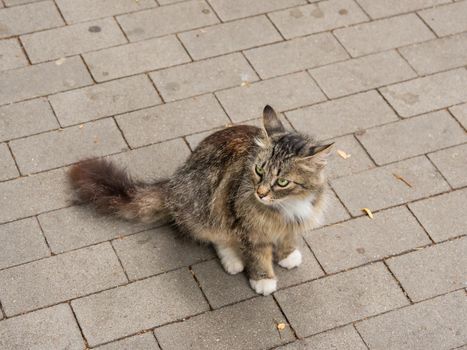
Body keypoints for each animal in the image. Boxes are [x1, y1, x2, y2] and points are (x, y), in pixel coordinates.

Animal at [68, 104, 332, 296]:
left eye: (282, 182)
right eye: (259, 170)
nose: (261, 193)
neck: (286, 207)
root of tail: (173, 182)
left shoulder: (294, 224)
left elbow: (288, 239)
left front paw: (287, 255)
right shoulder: (248, 229)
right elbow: (258, 256)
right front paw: (263, 280)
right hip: (208, 208)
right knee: (216, 238)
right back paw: (233, 261)